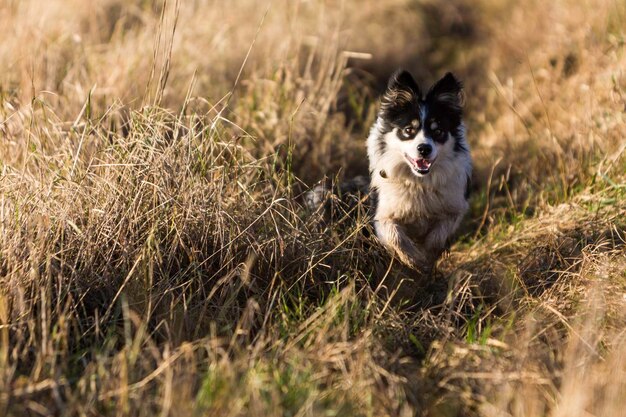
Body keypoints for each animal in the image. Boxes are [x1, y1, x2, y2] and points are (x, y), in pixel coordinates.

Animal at [304, 70, 470, 272]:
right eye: (408, 130)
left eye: (438, 131)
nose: (424, 149)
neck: (419, 181)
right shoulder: (383, 214)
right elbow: (394, 235)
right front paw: (413, 259)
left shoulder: (454, 207)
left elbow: (440, 232)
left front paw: (427, 256)